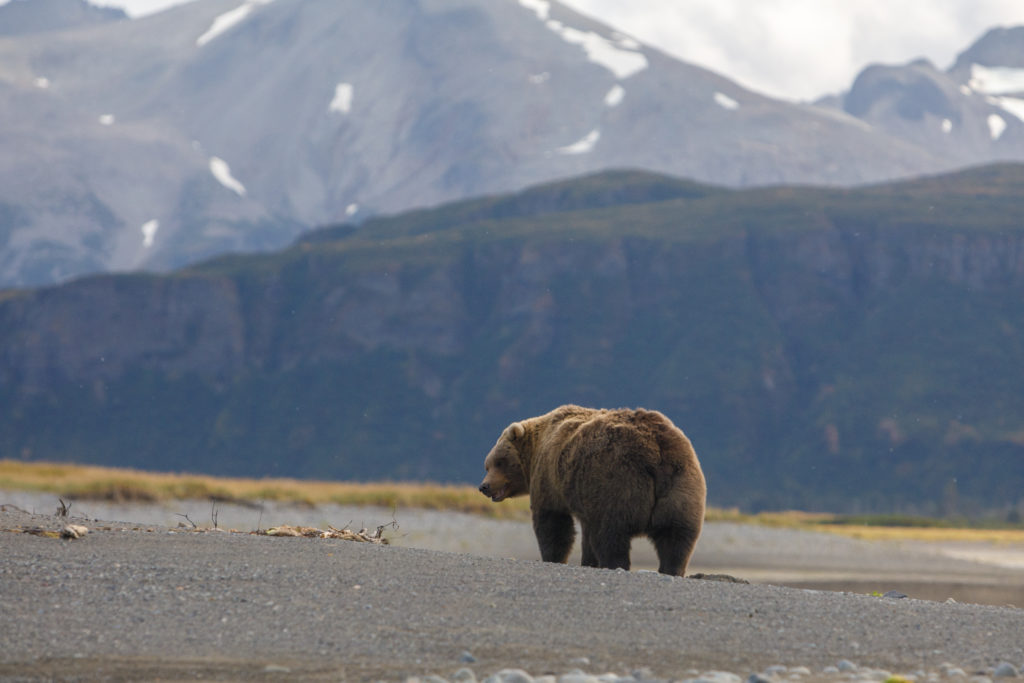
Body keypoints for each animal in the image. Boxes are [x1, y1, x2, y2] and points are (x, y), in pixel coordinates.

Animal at [477, 405, 704, 577]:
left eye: (499, 462)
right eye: (487, 465)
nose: (484, 486)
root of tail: (656, 453)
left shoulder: (550, 479)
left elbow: (553, 523)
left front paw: (553, 557)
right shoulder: (583, 496)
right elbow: (585, 533)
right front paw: (587, 561)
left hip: (617, 482)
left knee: (611, 535)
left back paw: (614, 564)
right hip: (681, 486)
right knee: (676, 538)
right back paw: (671, 569)